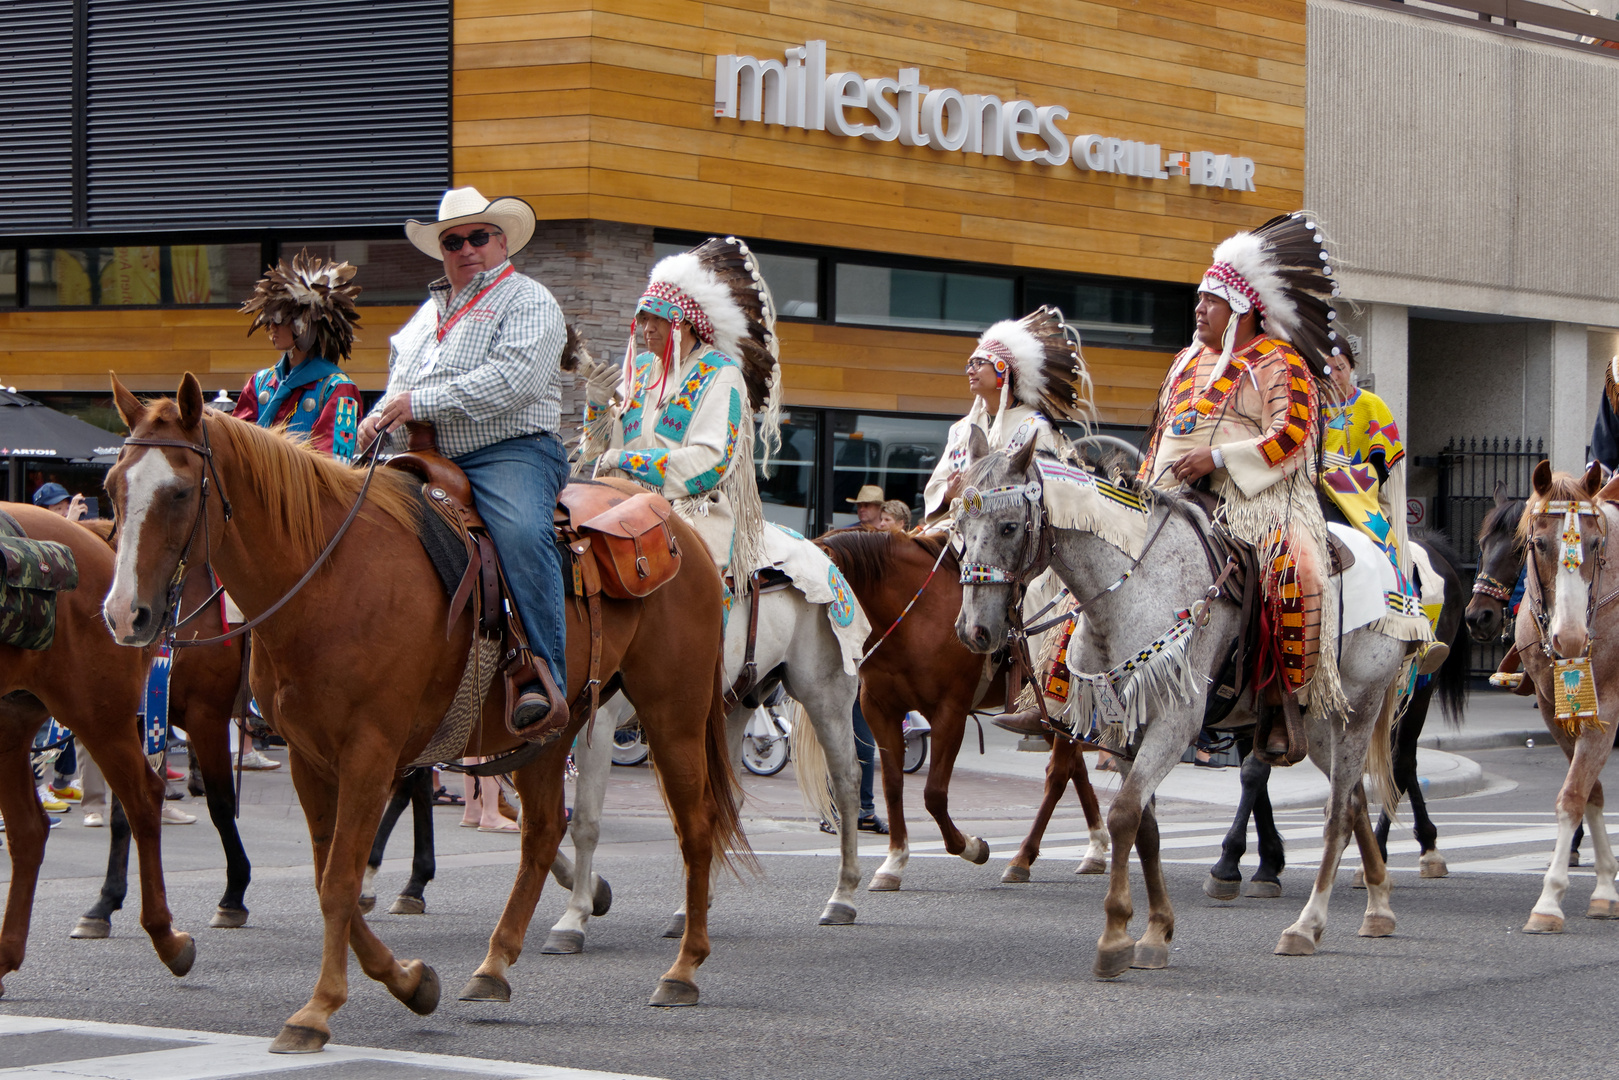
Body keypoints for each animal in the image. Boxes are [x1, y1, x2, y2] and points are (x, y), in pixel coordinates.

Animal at [104, 374, 747, 1055]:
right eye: (113, 487)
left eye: (178, 491)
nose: (124, 615)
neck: (327, 581)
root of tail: (676, 529)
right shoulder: (310, 757)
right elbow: (329, 875)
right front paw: (410, 981)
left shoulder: (369, 752)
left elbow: (339, 882)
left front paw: (317, 1010)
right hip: (552, 730)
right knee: (544, 830)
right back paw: (494, 965)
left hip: (672, 712)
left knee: (695, 827)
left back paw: (682, 969)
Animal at [543, 550, 867, 952]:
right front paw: (594, 890)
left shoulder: (597, 722)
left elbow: (584, 822)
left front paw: (574, 917)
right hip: (730, 705)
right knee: (724, 801)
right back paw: (691, 909)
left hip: (825, 696)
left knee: (846, 781)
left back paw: (843, 896)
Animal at [815, 527, 1107, 893]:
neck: (915, 615)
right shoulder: (879, 710)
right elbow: (893, 785)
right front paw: (894, 862)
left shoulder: (949, 712)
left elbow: (934, 794)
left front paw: (971, 847)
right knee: (1075, 770)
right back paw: (1094, 849)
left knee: (1057, 776)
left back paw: (1022, 857)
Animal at [951, 433, 1411, 977]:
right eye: (958, 529)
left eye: (1008, 526)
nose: (974, 631)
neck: (1133, 589)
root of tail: (1390, 567)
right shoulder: (1125, 727)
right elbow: (1146, 827)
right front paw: (1155, 932)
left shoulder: (1175, 724)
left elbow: (1124, 815)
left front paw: (1115, 937)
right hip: (1319, 724)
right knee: (1356, 799)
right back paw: (1379, 906)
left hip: (1359, 707)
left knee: (1338, 812)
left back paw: (1307, 926)